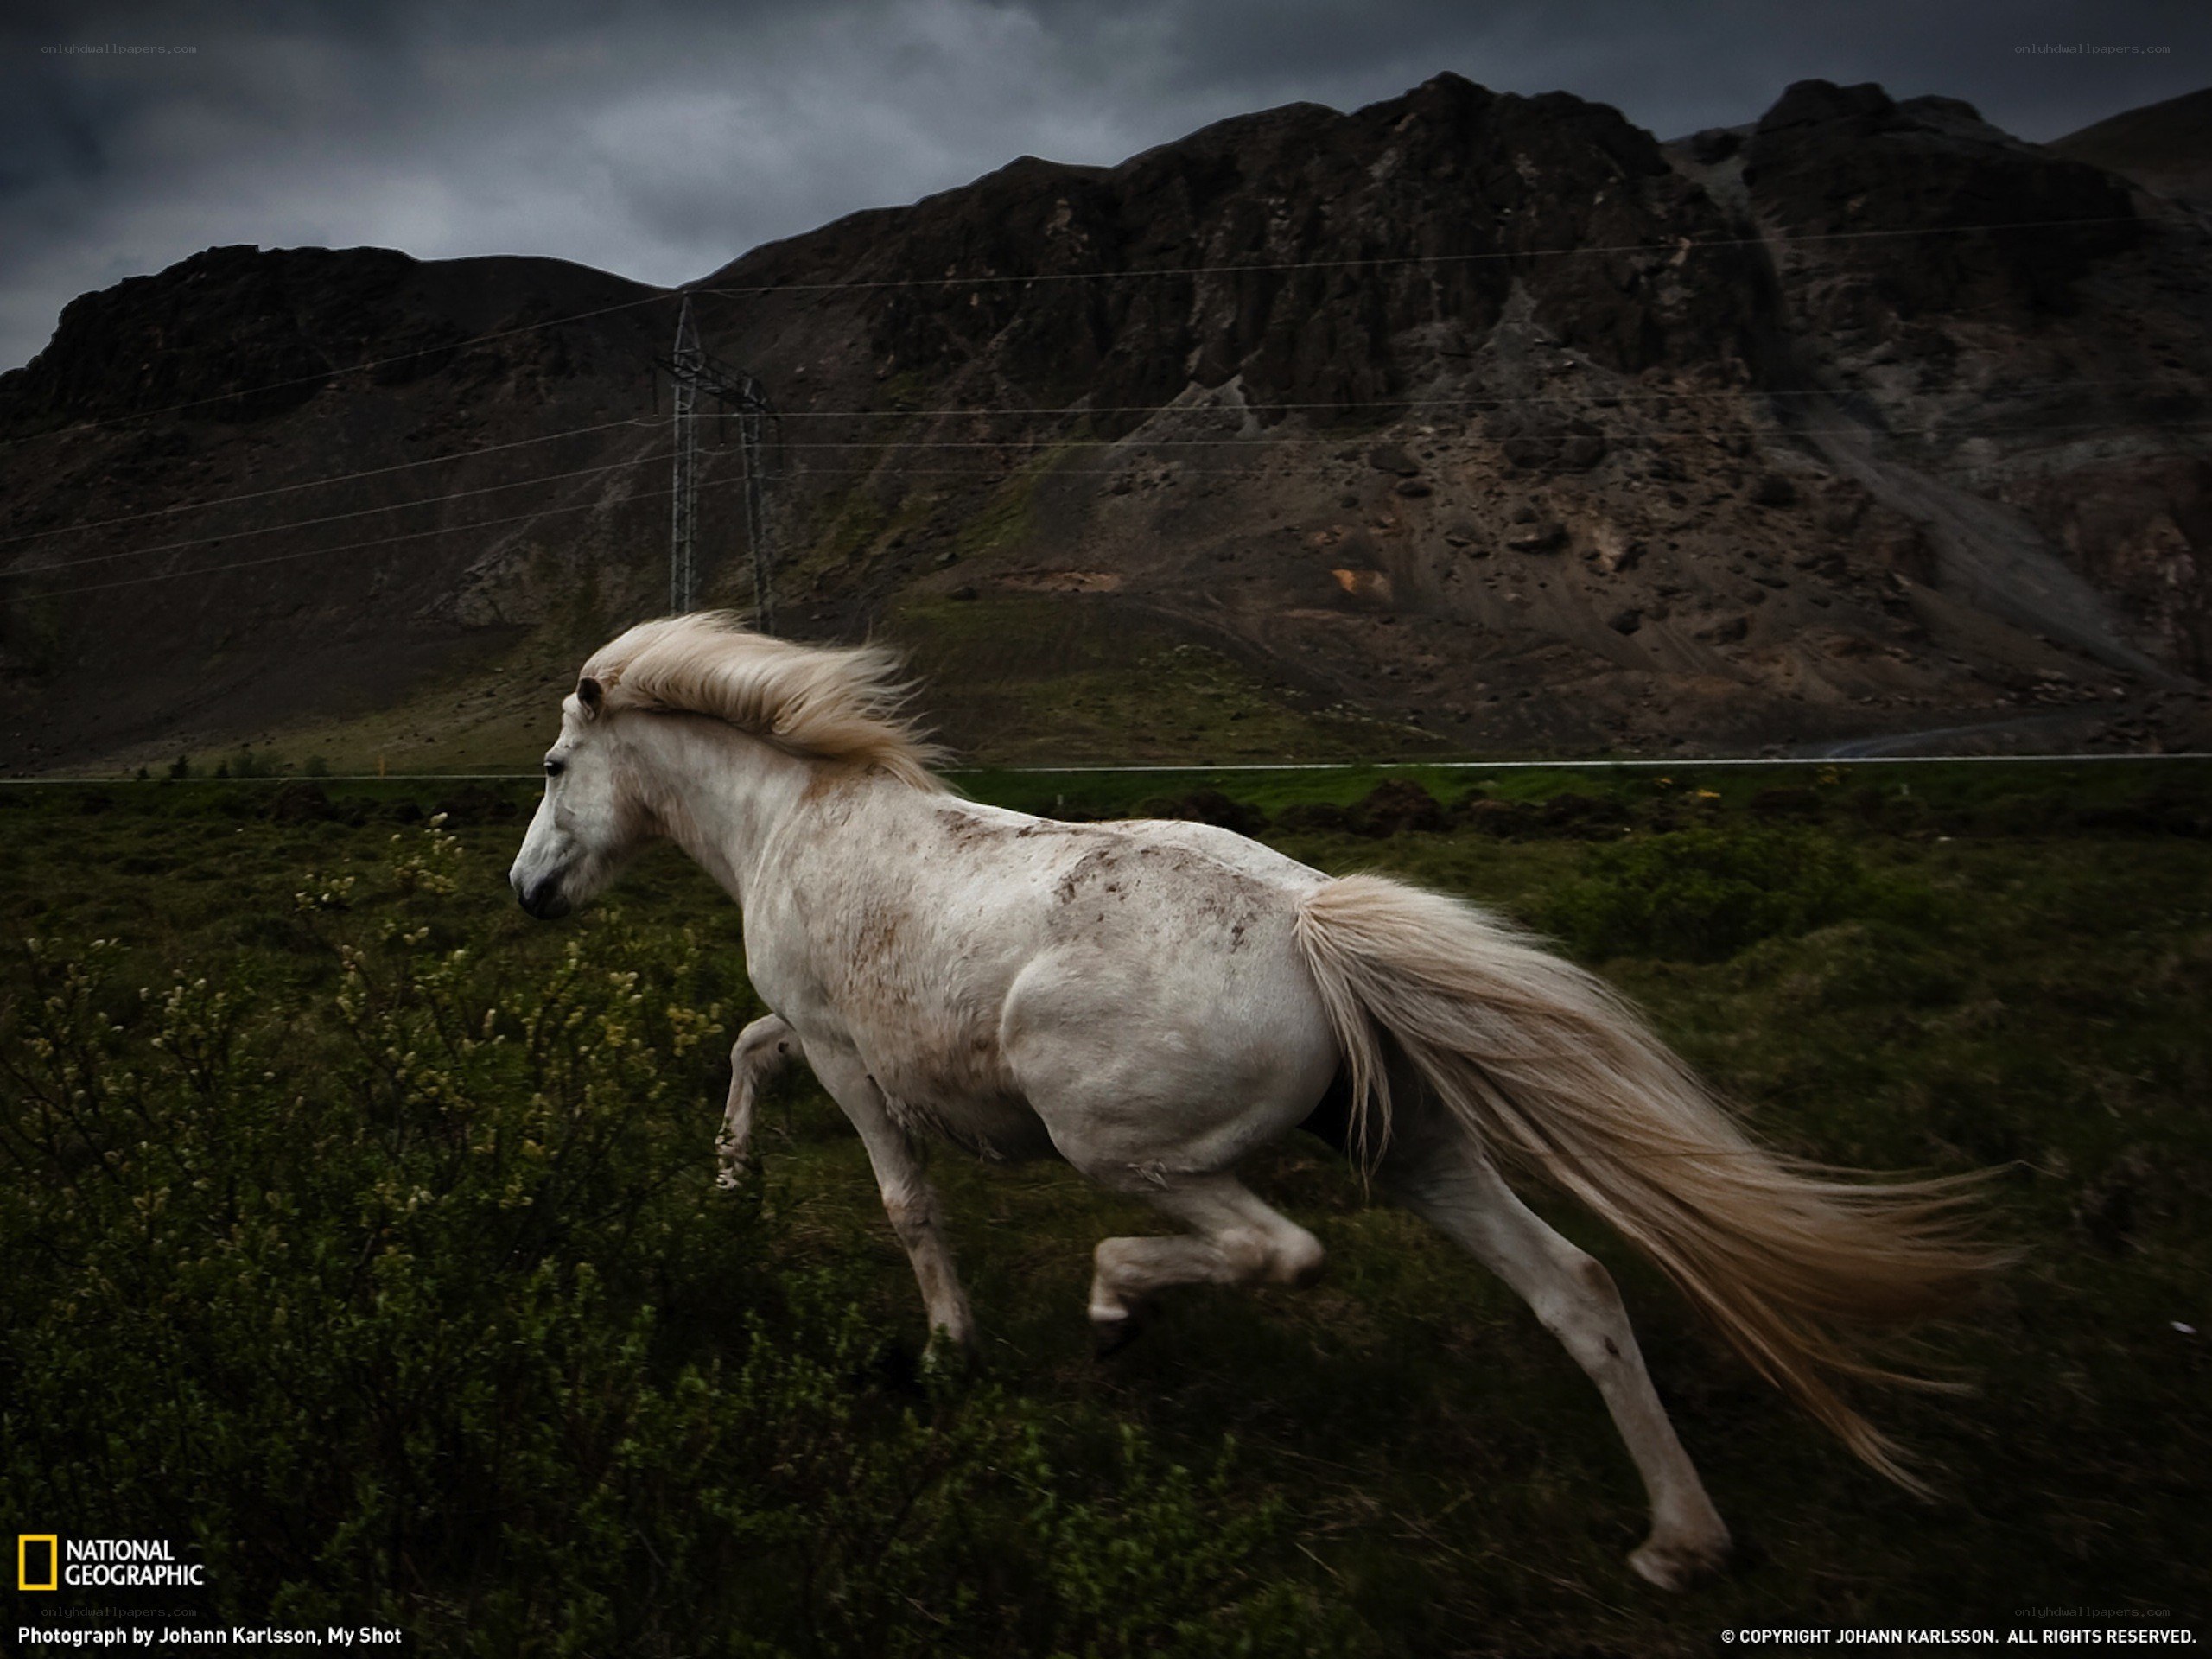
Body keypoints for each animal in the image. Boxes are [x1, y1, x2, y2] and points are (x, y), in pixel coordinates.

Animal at [507, 610, 1999, 1591]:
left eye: (552, 770)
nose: (526, 893)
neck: (796, 821)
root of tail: (1312, 924)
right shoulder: (827, 1043)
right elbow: (746, 1057)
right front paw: (728, 1188)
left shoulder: (847, 1054)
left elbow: (901, 1200)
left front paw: (946, 1352)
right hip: (1417, 1151)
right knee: (1576, 1288)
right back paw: (1681, 1543)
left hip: (1120, 1144)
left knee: (1277, 1249)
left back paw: (1116, 1308)